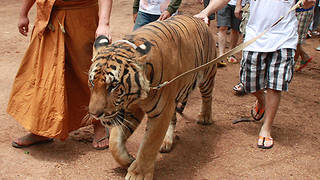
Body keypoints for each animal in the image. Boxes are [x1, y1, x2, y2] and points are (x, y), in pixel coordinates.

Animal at [87, 15, 218, 180]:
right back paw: (166, 142)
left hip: (207, 74)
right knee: (173, 118)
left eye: (113, 86)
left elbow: (148, 144)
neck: (136, 96)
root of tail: (198, 18)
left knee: (207, 96)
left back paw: (205, 117)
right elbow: (114, 143)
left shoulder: (160, 112)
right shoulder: (132, 109)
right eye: (92, 82)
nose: (95, 114)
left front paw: (138, 174)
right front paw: (128, 160)